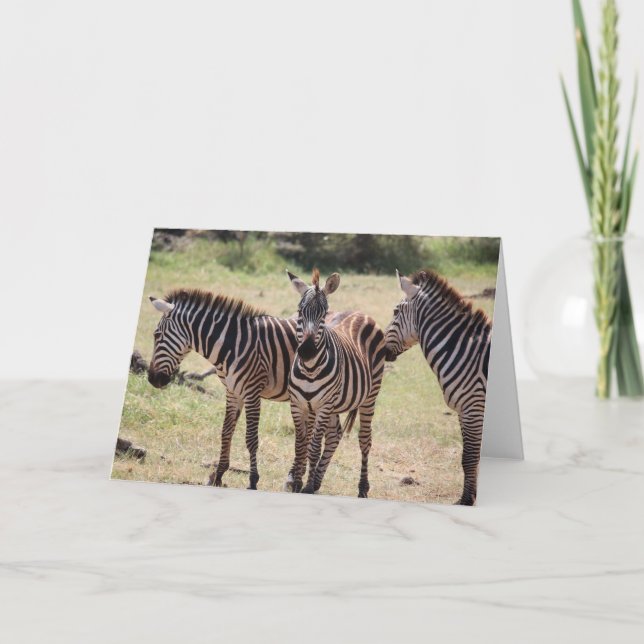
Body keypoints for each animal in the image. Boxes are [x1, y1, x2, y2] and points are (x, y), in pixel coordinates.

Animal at [147, 288, 342, 490]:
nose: (152, 379)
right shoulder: (233, 391)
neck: (232, 345)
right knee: (335, 434)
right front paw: (218, 475)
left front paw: (253, 479)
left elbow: (251, 438)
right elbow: (226, 432)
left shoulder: (252, 392)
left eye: (156, 335)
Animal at [285, 269, 387, 498]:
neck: (310, 369)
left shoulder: (323, 406)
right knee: (333, 436)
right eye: (299, 311)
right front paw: (298, 482)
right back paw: (317, 481)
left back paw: (362, 488)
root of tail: (360, 313)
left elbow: (313, 447)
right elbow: (301, 444)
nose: (306, 351)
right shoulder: (299, 405)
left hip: (369, 396)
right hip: (331, 405)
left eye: (323, 315)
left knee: (364, 440)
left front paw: (305, 486)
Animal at [384, 269, 491, 506]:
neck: (465, 351)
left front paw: (466, 501)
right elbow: (470, 457)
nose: (382, 349)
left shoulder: (474, 407)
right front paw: (468, 497)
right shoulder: (463, 410)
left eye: (395, 311)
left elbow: (469, 457)